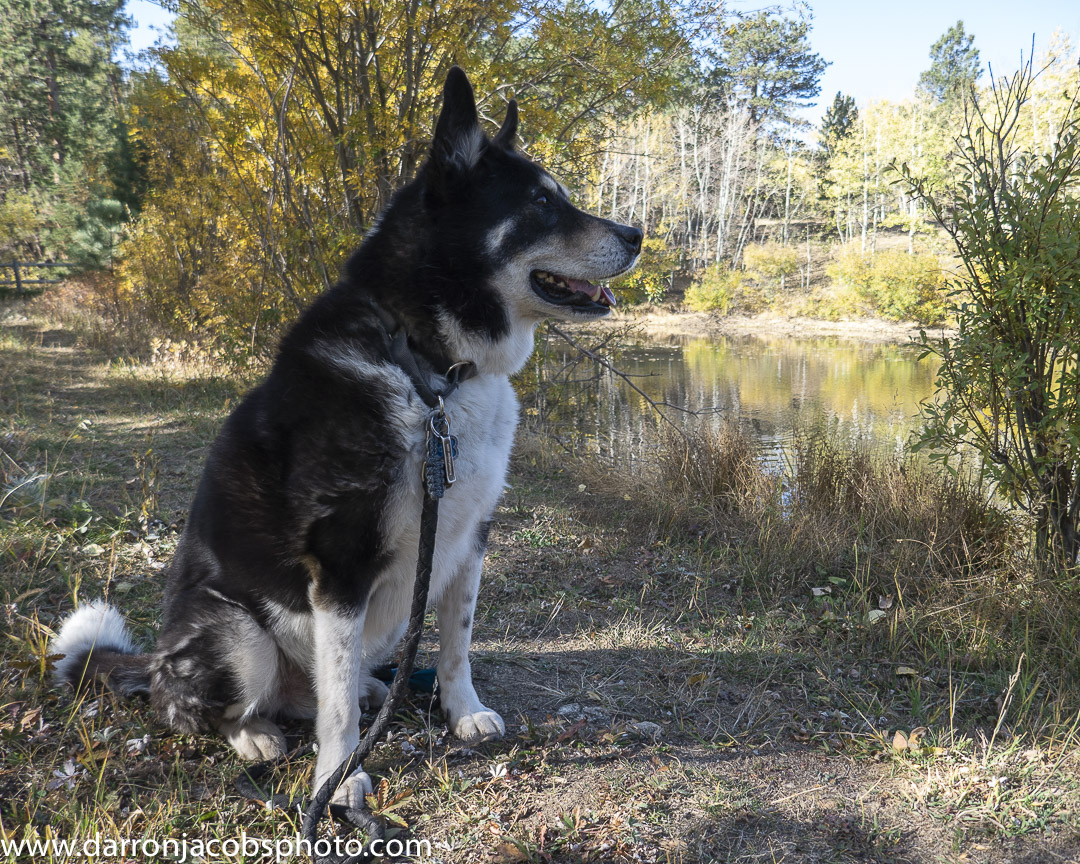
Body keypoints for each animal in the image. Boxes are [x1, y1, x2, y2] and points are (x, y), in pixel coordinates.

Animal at [51, 67, 641, 806]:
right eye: (540, 201)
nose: (637, 232)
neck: (426, 365)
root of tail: (154, 661)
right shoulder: (340, 565)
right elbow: (335, 707)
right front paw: (340, 778)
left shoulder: (469, 537)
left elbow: (457, 642)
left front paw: (464, 712)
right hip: (237, 635)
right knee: (216, 709)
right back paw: (257, 732)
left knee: (329, 687)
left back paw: (370, 689)